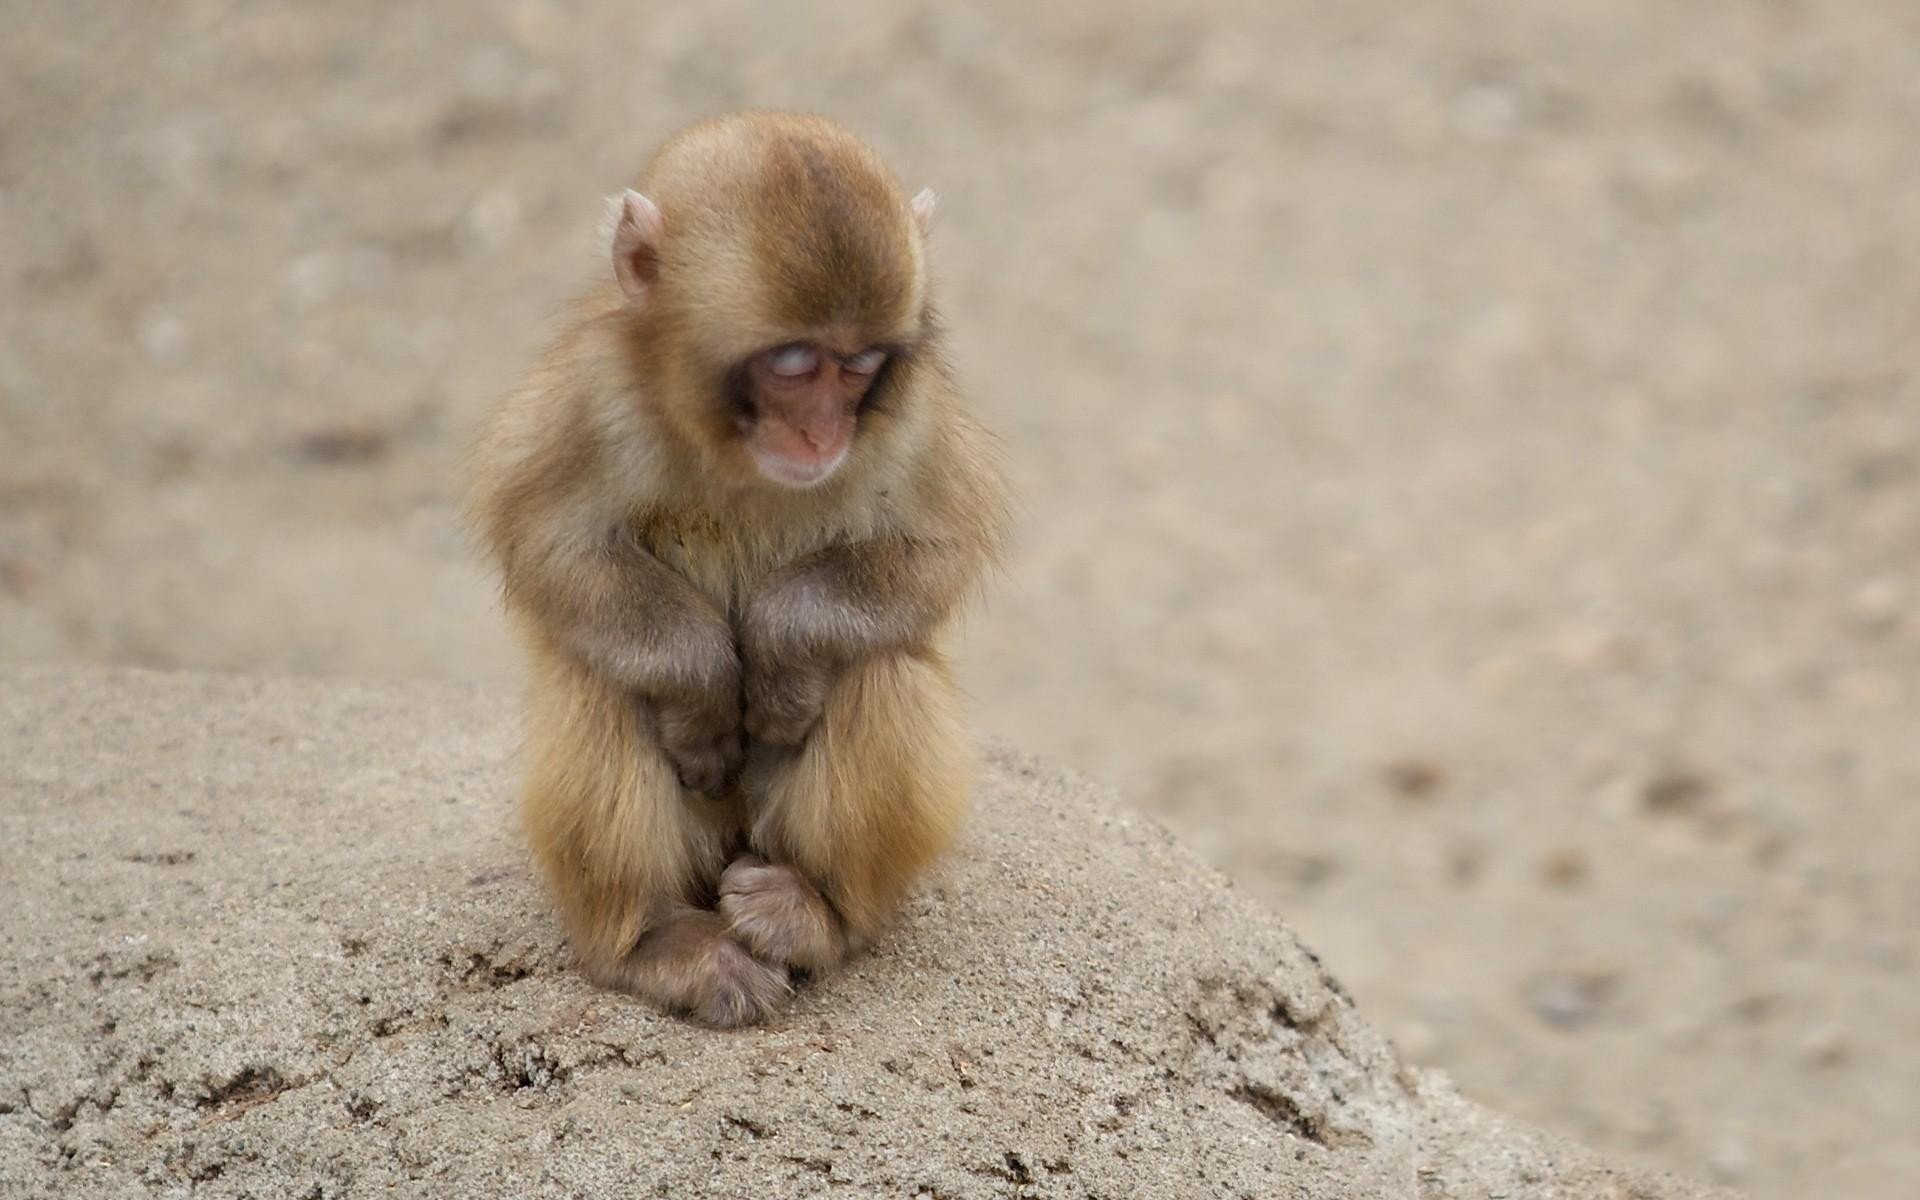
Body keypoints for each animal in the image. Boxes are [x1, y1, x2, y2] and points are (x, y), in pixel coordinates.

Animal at [467, 112, 1007, 1027]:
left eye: (859, 365)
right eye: (791, 364)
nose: (823, 434)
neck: (729, 451)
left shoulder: (913, 414)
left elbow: (937, 548)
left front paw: (782, 655)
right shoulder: (590, 391)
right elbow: (548, 539)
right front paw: (703, 689)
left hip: (764, 827)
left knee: (881, 670)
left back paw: (817, 912)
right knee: (599, 682)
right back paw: (653, 943)